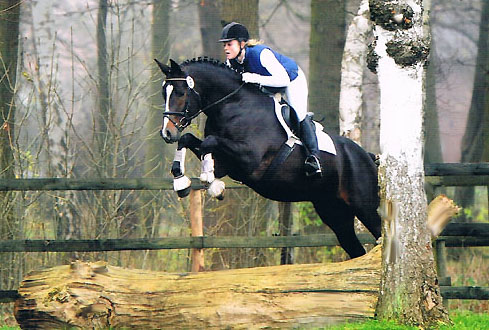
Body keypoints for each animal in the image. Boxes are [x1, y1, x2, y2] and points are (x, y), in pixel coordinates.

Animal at [154, 56, 380, 260]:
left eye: (181, 93)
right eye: (163, 93)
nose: (167, 133)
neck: (233, 106)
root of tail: (367, 156)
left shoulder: (249, 159)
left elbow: (210, 141)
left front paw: (210, 181)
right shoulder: (226, 164)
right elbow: (189, 139)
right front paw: (182, 182)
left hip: (364, 206)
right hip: (333, 211)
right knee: (356, 250)